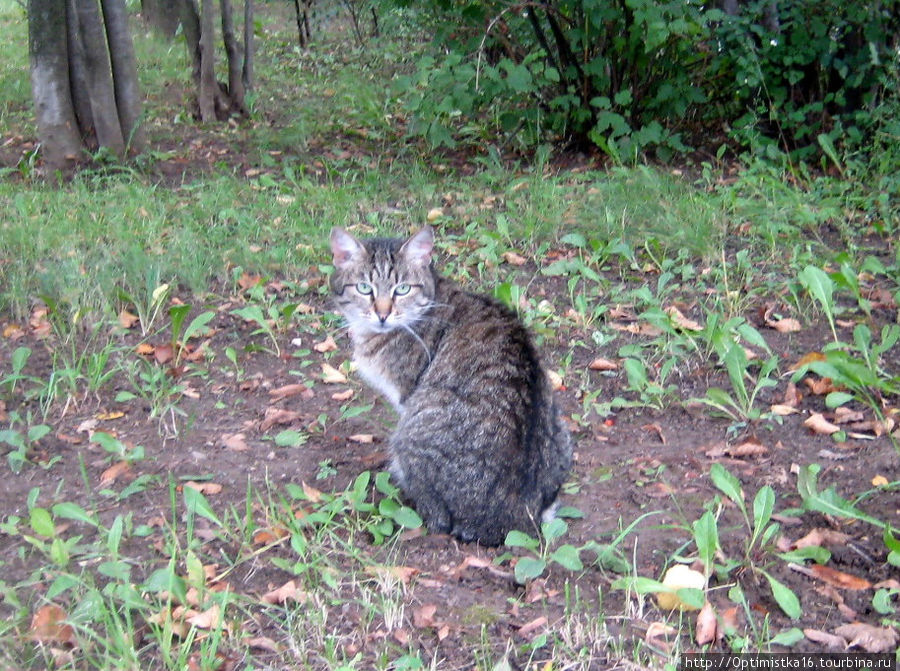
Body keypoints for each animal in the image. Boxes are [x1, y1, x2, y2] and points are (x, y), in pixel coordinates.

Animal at [328, 226, 568, 544]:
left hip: (410, 435)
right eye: (365, 288)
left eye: (402, 289)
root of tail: (517, 519)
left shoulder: (407, 397)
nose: (382, 313)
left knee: (437, 519)